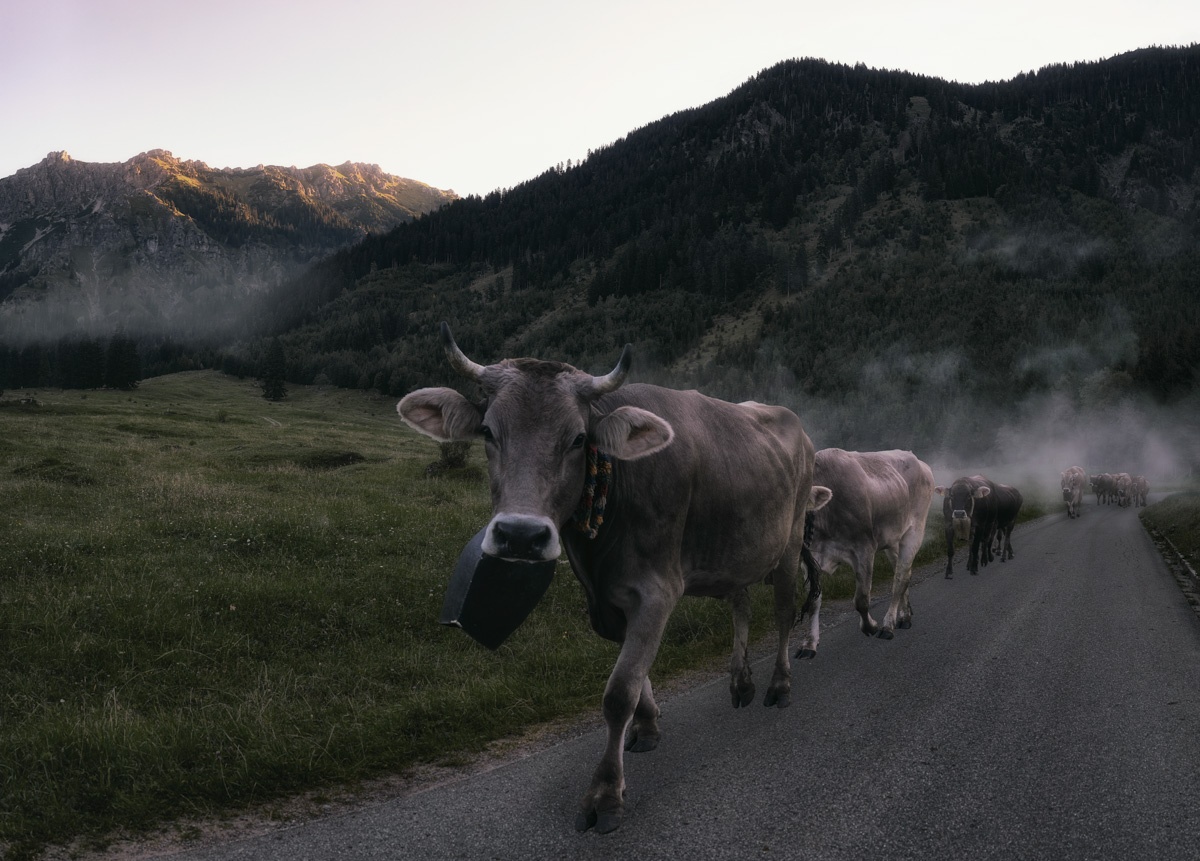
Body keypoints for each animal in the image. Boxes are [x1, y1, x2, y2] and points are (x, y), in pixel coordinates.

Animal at [397, 323, 828, 834]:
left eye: (579, 438)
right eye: (487, 431)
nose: (520, 535)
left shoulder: (657, 590)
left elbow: (619, 690)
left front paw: (605, 793)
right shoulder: (606, 598)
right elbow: (636, 674)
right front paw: (648, 726)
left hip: (788, 543)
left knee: (782, 613)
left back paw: (778, 686)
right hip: (734, 556)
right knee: (740, 607)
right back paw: (740, 683)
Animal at [794, 449, 934, 659]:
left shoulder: (864, 549)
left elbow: (861, 599)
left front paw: (871, 626)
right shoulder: (810, 559)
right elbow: (813, 602)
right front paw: (809, 644)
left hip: (914, 531)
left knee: (900, 579)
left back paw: (888, 625)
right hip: (893, 539)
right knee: (903, 573)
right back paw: (905, 616)